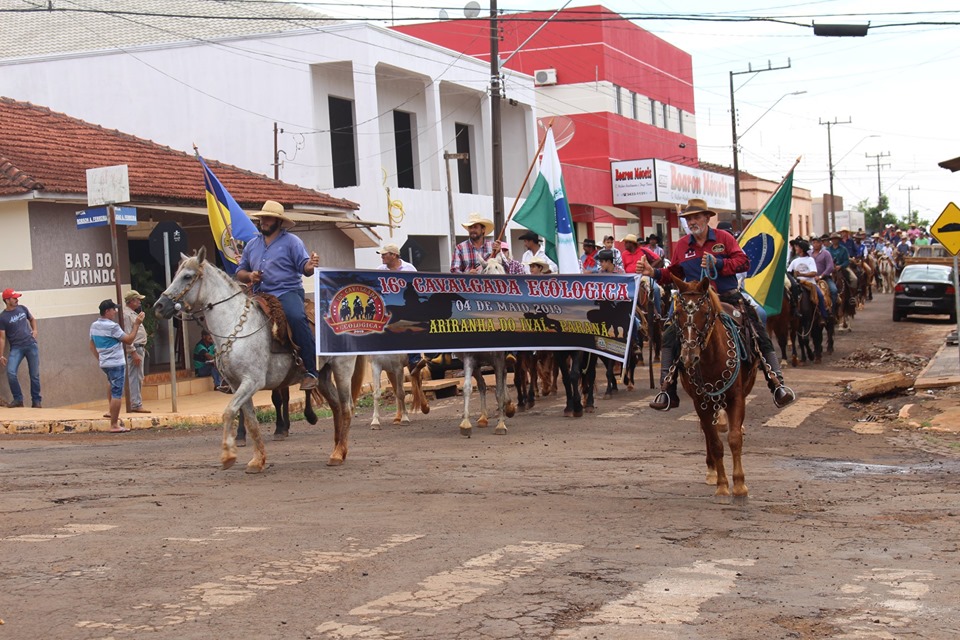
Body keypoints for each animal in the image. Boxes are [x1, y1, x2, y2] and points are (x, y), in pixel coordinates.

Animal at [154, 248, 364, 472]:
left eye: (187, 276)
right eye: (174, 275)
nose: (159, 306)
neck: (235, 326)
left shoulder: (252, 381)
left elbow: (229, 411)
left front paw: (228, 456)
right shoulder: (236, 384)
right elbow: (250, 420)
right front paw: (257, 460)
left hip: (342, 369)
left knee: (347, 408)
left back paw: (338, 453)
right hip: (323, 375)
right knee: (336, 406)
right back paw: (338, 449)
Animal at [668, 272, 756, 498]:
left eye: (705, 312)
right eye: (678, 313)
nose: (688, 356)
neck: (712, 359)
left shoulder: (737, 397)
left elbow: (734, 438)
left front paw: (740, 485)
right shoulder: (701, 402)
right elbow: (715, 443)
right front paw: (722, 484)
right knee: (709, 432)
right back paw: (712, 471)